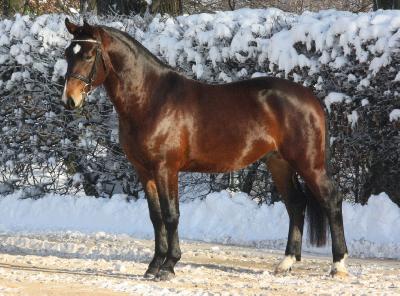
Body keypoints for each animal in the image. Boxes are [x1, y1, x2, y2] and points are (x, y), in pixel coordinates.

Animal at [61, 19, 346, 280]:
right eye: (67, 54)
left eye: (88, 55)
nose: (69, 100)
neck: (151, 99)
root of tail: (312, 99)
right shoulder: (144, 171)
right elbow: (156, 217)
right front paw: (153, 266)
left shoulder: (166, 169)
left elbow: (171, 215)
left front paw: (169, 265)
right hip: (279, 163)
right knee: (296, 204)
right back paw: (286, 263)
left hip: (309, 163)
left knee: (331, 200)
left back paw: (338, 265)